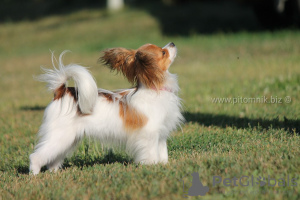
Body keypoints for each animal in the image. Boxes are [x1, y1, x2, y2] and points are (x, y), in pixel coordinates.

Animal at [31, 42, 185, 173]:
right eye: (163, 52)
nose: (172, 43)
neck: (154, 89)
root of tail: (61, 92)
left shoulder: (160, 135)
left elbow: (163, 153)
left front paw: (163, 165)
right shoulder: (149, 135)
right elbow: (151, 154)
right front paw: (152, 167)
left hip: (68, 139)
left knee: (53, 159)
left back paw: (54, 172)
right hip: (60, 136)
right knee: (36, 156)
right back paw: (34, 174)